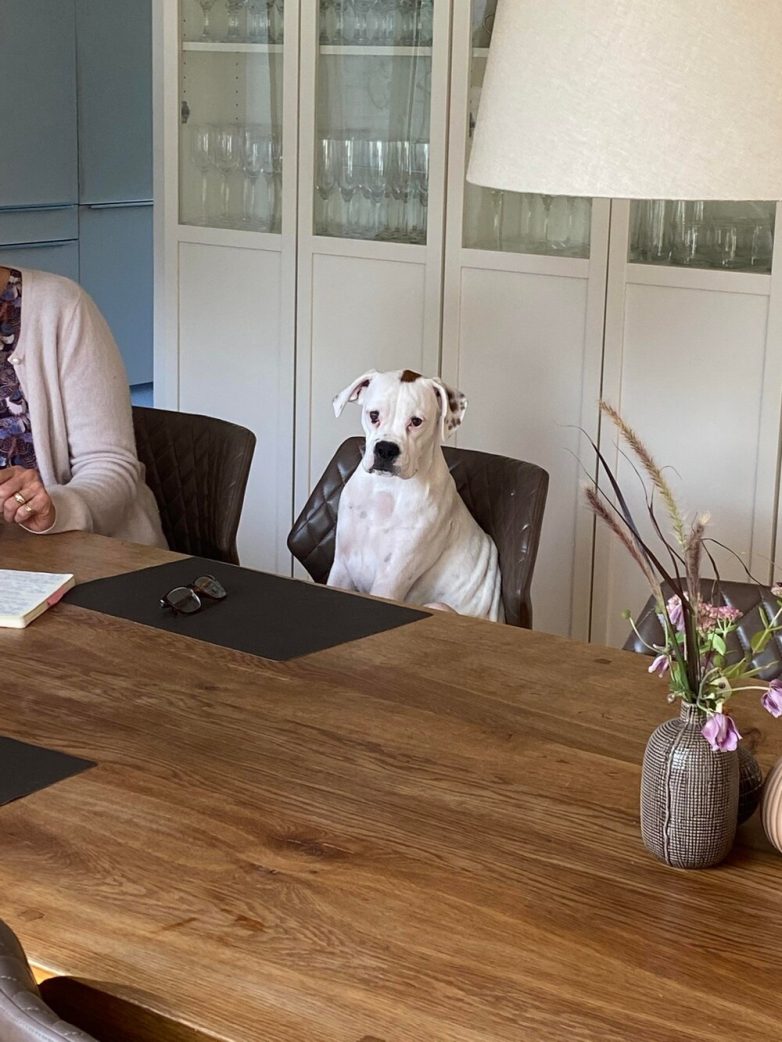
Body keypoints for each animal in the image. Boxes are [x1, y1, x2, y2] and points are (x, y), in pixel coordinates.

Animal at [327, 368, 504, 622]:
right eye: (374, 415)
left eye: (416, 422)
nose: (386, 449)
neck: (386, 490)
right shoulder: (341, 567)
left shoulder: (390, 580)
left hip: (439, 606)